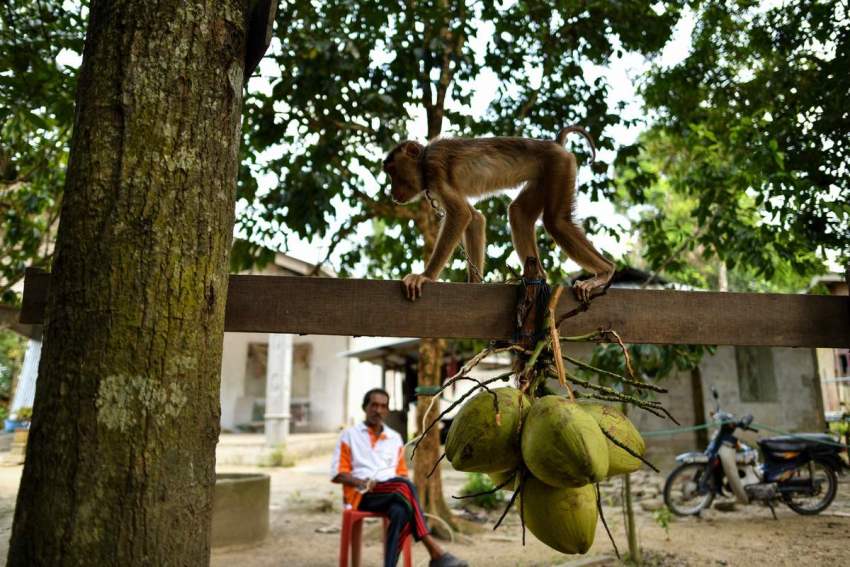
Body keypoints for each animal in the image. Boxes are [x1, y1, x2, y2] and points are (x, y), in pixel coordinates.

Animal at [380, 126, 612, 304]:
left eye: (393, 172)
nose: (391, 192)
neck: (424, 160)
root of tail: (555, 144)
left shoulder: (435, 167)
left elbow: (460, 214)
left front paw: (425, 277)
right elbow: (474, 218)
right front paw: (474, 283)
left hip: (560, 164)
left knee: (555, 222)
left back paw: (605, 273)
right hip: (546, 173)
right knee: (519, 214)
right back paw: (537, 277)